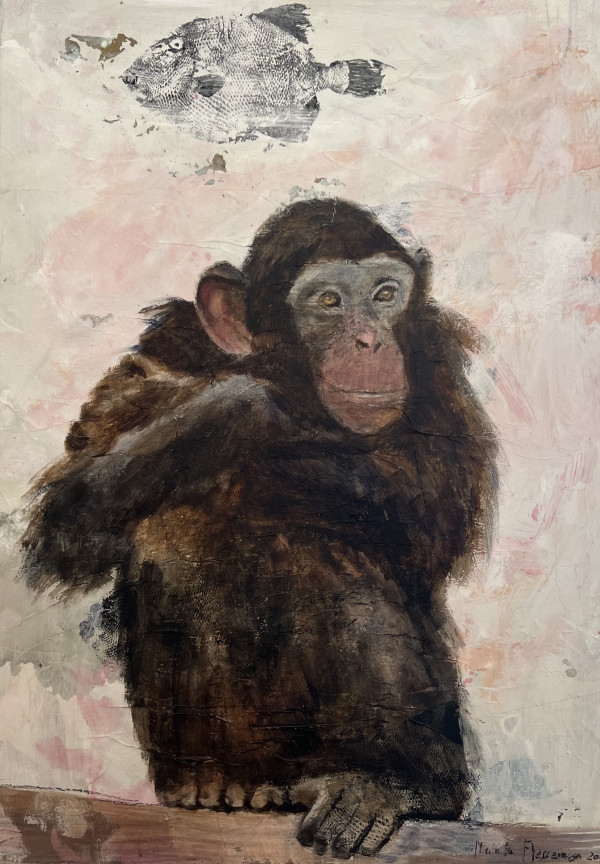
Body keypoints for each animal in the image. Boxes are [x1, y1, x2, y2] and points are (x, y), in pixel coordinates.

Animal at [21, 198, 498, 857]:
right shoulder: (160, 350)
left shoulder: (435, 352)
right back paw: (211, 784)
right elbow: (68, 513)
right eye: (329, 301)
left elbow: (439, 498)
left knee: (323, 551)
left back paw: (397, 782)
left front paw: (251, 420)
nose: (370, 339)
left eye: (385, 294)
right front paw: (239, 406)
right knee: (173, 533)